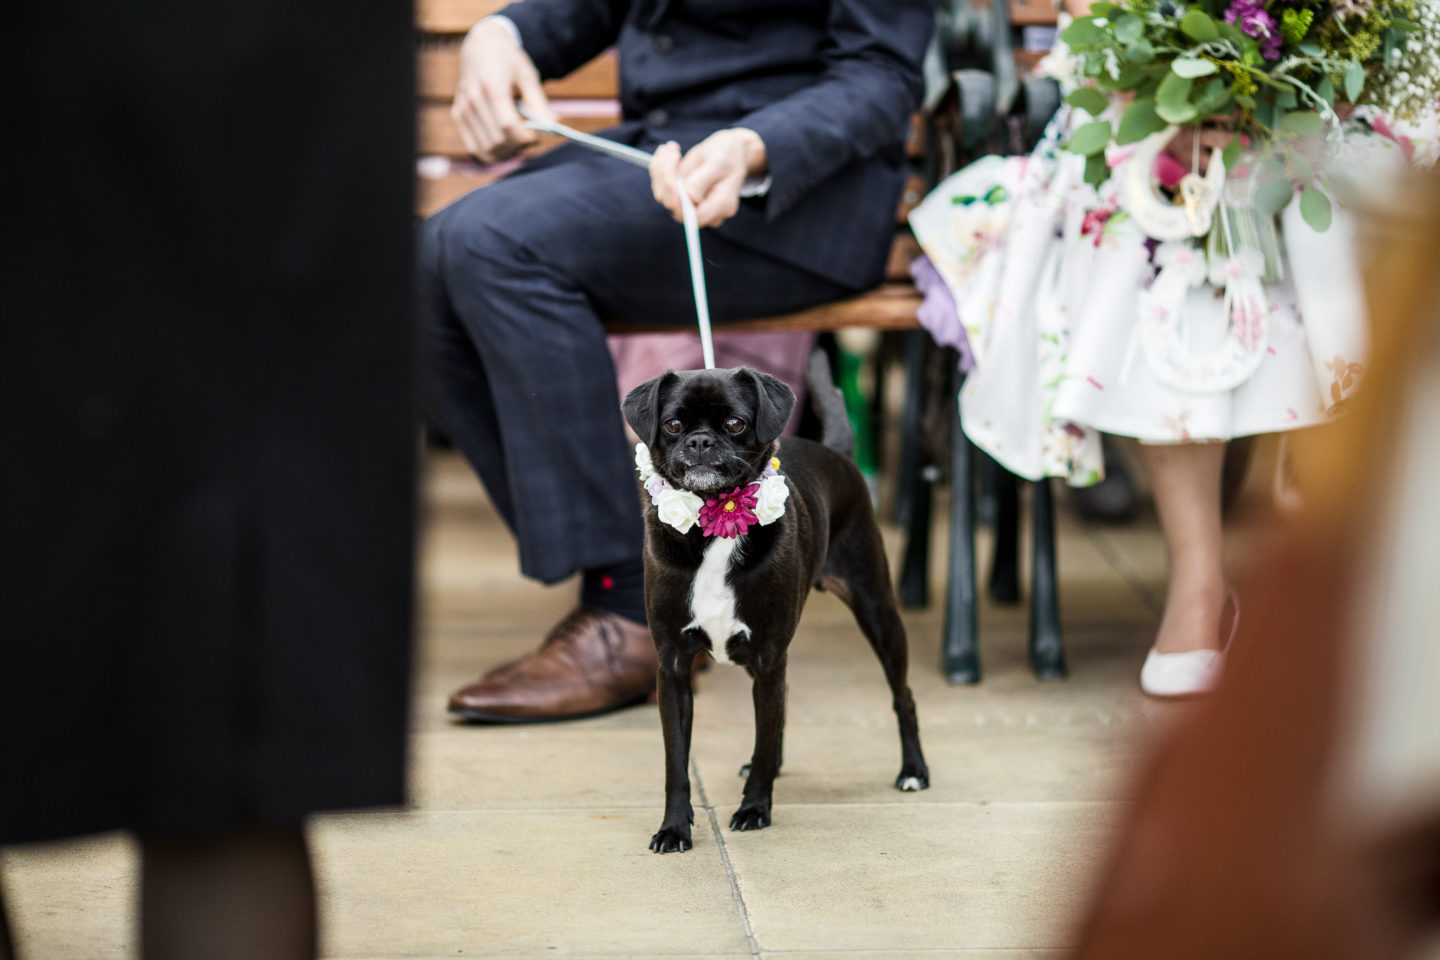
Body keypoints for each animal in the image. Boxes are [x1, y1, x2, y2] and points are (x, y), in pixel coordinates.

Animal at [624, 364, 927, 852]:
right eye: (672, 425)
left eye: (735, 423)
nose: (700, 441)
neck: (712, 528)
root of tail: (836, 452)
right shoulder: (673, 669)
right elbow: (677, 762)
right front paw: (673, 827)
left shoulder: (767, 656)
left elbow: (764, 737)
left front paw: (754, 808)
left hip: (878, 614)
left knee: (903, 697)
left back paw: (914, 771)